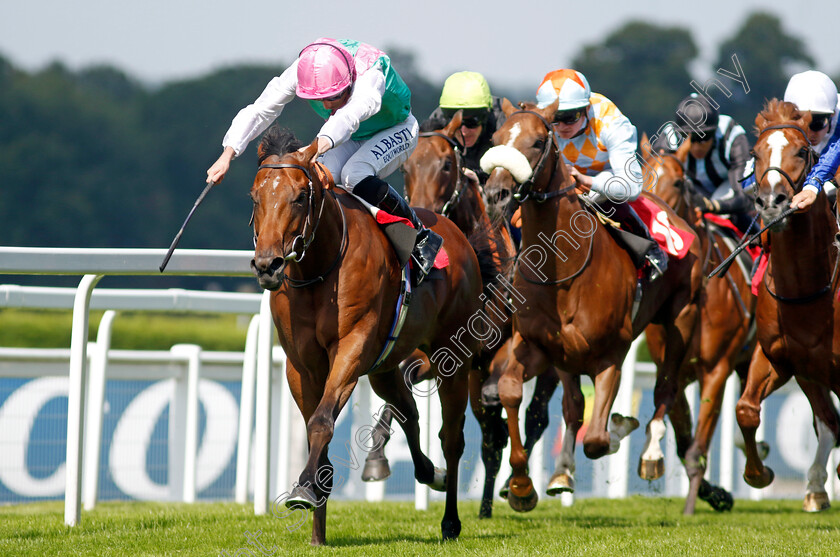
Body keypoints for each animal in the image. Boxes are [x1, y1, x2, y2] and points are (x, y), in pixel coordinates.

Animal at [251, 126, 486, 544]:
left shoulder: (352, 347)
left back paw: (450, 520)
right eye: (255, 196)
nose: (268, 265)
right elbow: (315, 425)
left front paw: (304, 490)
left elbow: (322, 421)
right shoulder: (301, 364)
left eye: (299, 197)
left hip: (452, 357)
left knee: (452, 438)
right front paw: (316, 521)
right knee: (409, 413)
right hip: (385, 367)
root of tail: (458, 236)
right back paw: (429, 472)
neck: (319, 268)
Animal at [396, 109, 584, 516]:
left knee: (534, 418)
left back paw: (516, 486)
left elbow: (503, 409)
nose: (424, 215)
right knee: (491, 432)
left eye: (446, 164)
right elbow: (407, 376)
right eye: (406, 166)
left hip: (546, 365)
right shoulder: (448, 354)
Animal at [480, 97, 704, 510]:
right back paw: (561, 472)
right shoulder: (539, 346)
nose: (496, 194)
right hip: (569, 359)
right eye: (497, 138)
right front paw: (520, 485)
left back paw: (651, 453)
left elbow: (598, 439)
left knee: (665, 387)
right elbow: (511, 391)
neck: (565, 270)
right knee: (572, 408)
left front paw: (621, 426)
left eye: (538, 142)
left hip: (680, 320)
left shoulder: (612, 355)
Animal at [736, 101, 840, 512]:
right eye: (754, 153)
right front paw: (757, 473)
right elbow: (746, 409)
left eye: (801, 151)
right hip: (812, 373)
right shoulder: (778, 357)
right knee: (828, 422)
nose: (771, 202)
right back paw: (814, 488)